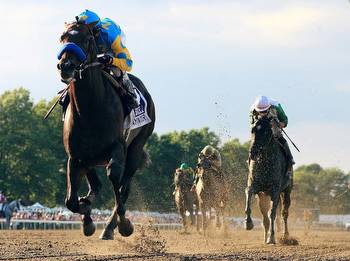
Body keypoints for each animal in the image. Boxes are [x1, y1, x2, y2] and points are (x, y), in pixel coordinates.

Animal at [57, 21, 154, 239]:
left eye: (87, 39)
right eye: (62, 38)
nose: (65, 66)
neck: (90, 109)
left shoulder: (118, 148)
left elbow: (114, 178)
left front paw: (124, 224)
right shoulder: (75, 157)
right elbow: (71, 201)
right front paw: (87, 216)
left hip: (135, 148)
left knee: (124, 187)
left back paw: (111, 227)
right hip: (91, 159)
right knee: (98, 185)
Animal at [245, 116, 294, 244]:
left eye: (266, 131)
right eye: (253, 130)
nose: (253, 152)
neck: (264, 162)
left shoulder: (275, 191)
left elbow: (273, 213)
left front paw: (271, 238)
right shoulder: (254, 186)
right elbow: (248, 195)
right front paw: (248, 223)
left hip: (286, 191)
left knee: (284, 213)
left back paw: (285, 236)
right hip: (263, 195)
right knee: (265, 216)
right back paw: (265, 237)